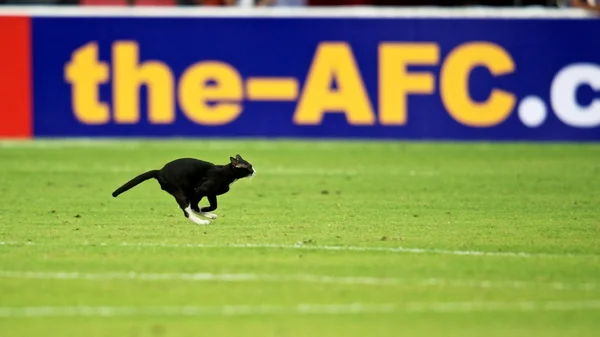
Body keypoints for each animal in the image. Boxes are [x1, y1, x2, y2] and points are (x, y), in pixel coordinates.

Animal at [111, 154, 254, 224]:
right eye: (249, 167)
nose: (254, 171)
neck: (225, 173)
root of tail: (160, 171)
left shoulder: (210, 193)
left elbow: (212, 205)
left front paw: (206, 210)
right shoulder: (200, 190)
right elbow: (195, 207)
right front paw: (203, 210)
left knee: (189, 208)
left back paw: (208, 216)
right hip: (180, 192)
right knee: (187, 211)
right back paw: (201, 222)